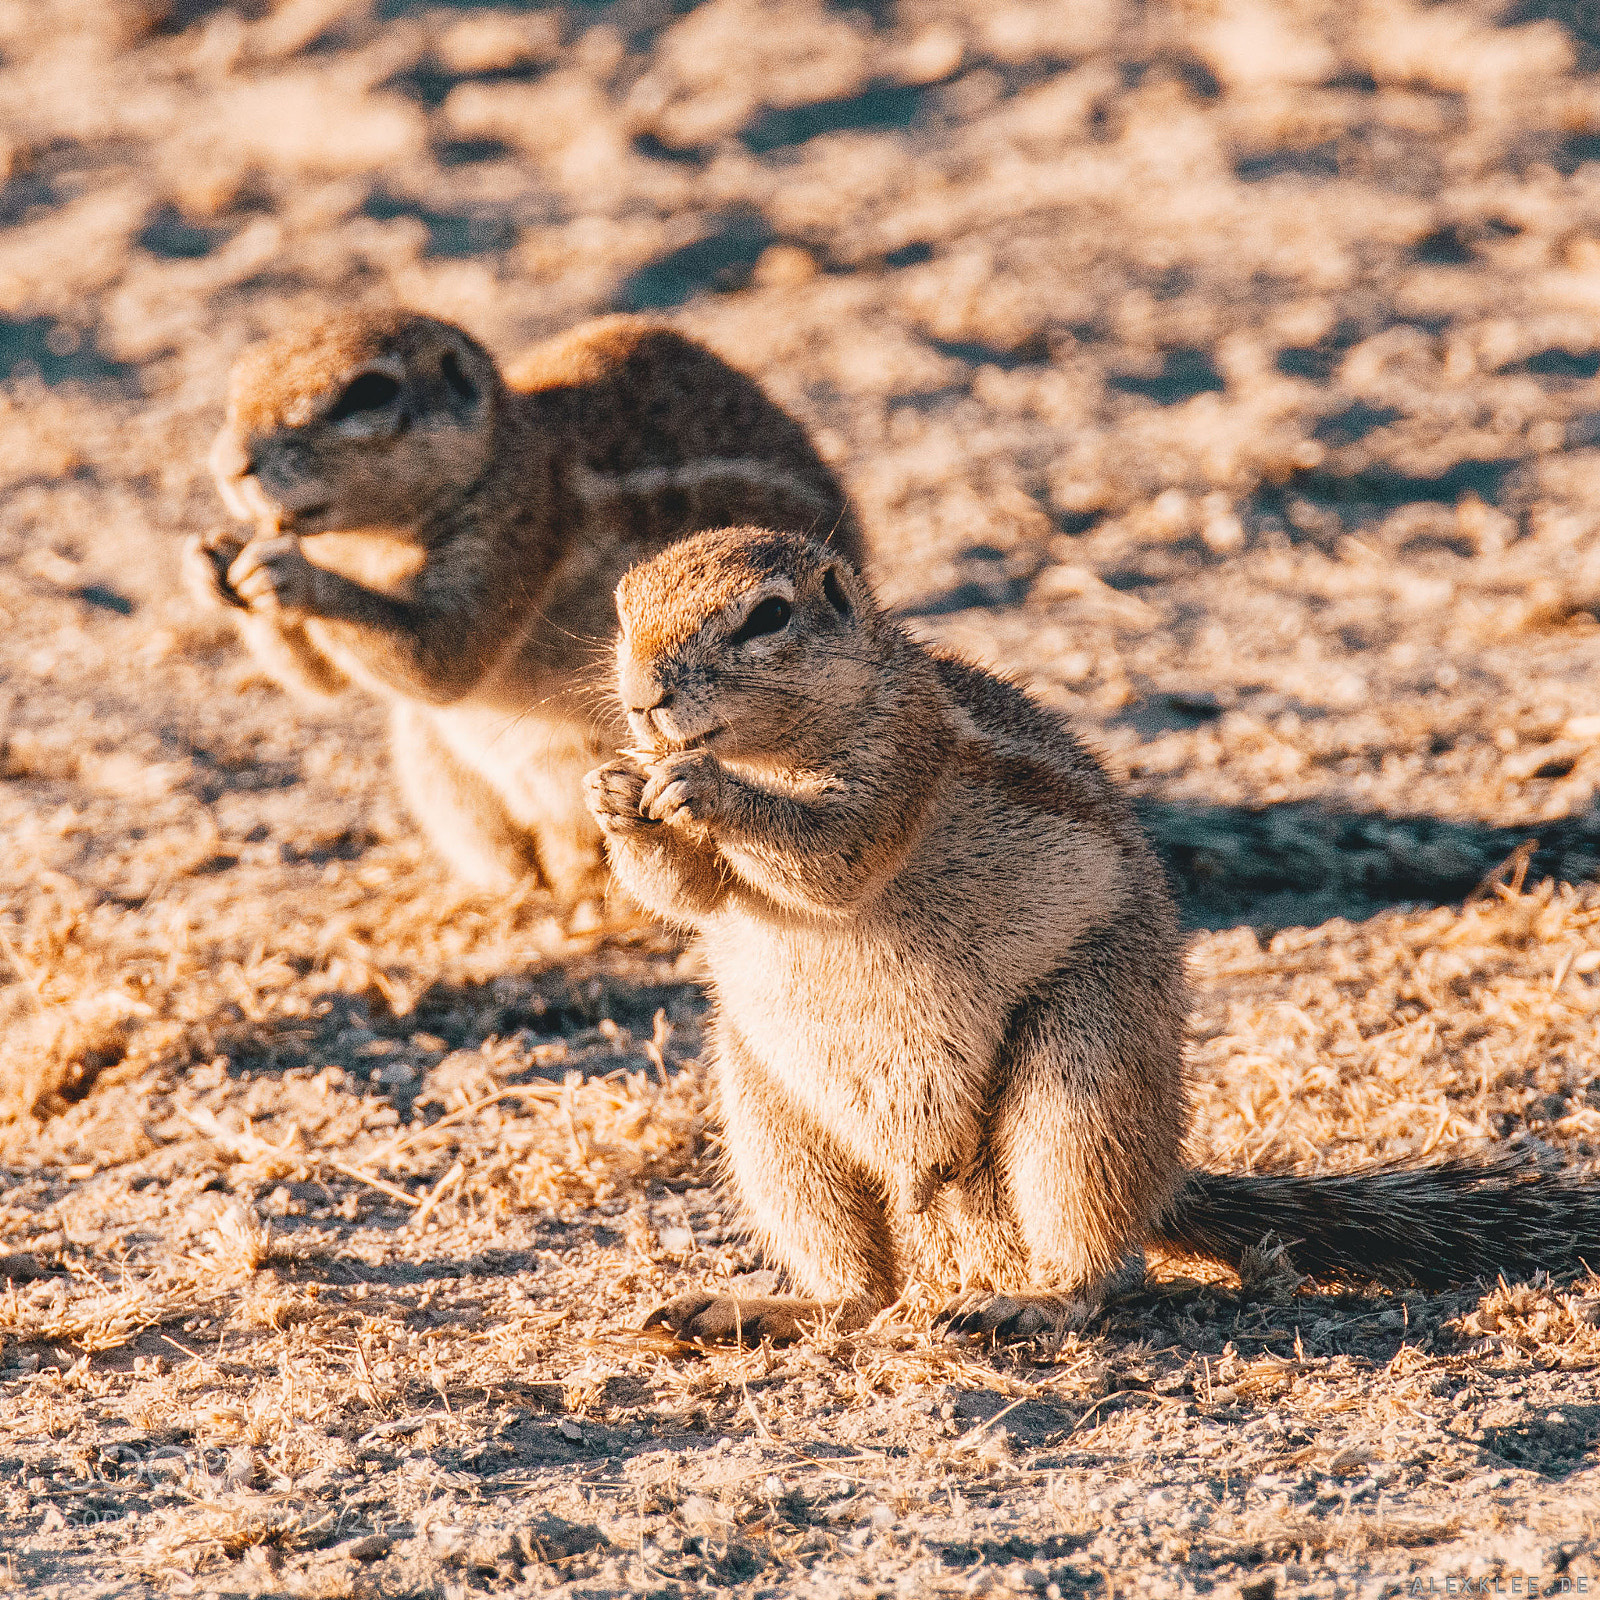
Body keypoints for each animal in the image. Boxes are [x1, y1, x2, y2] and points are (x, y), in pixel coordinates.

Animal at [184, 309, 861, 908]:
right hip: (434, 763)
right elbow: (321, 682)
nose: (231, 466)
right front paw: (214, 561)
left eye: (368, 392)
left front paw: (287, 574)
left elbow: (440, 658)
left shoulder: (516, 535)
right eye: (239, 381)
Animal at [585, 526, 1600, 1343]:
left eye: (767, 617)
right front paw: (616, 797)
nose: (643, 699)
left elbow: (831, 856)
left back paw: (1029, 1302)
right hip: (768, 1110)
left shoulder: (902, 760)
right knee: (867, 1289)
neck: (775, 744)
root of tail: (1164, 1179)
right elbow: (694, 893)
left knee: (1104, 1266)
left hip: (1084, 1065)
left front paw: (703, 789)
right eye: (623, 609)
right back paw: (764, 1308)